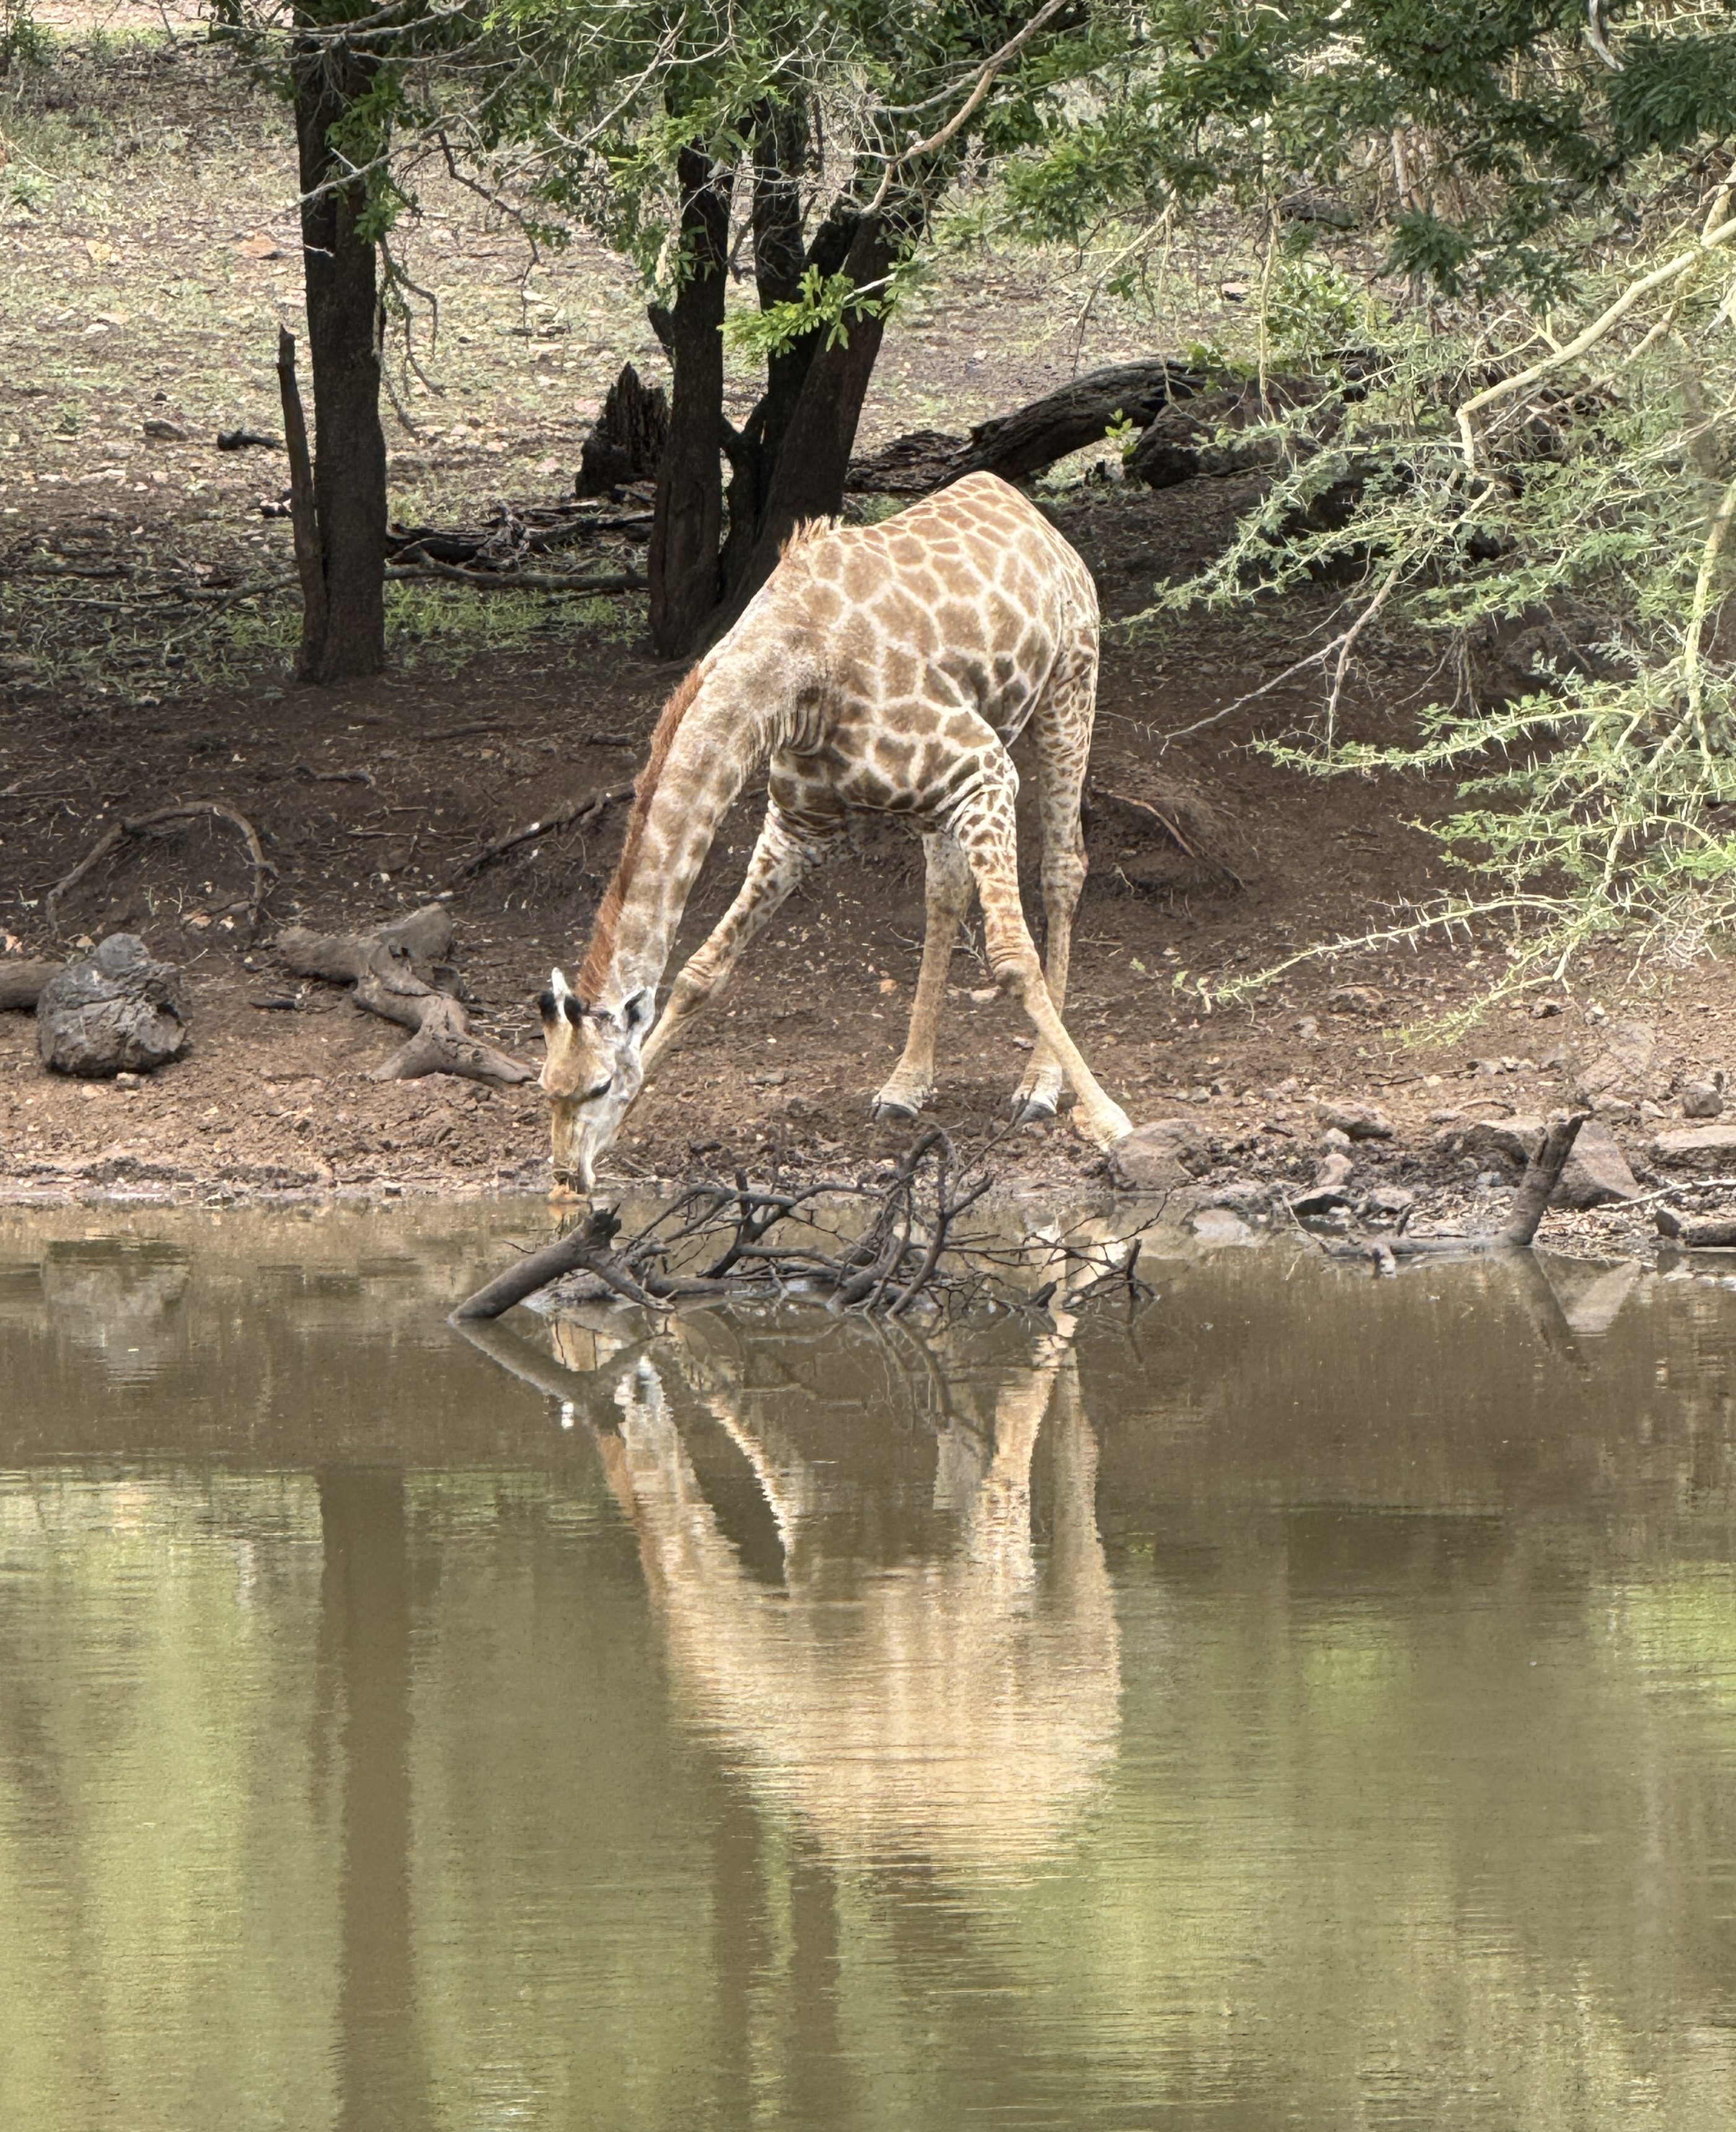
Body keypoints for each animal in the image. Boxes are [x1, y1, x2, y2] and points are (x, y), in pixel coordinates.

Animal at [537, 471, 1133, 1194]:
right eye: (546, 1088)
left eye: (596, 1086)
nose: (567, 1175)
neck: (792, 678)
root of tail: (1030, 513)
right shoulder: (798, 827)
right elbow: (702, 970)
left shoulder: (984, 771)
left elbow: (1013, 959)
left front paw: (1108, 1119)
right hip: (945, 792)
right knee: (944, 892)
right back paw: (904, 1085)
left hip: (1070, 682)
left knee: (1062, 868)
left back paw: (1039, 1085)